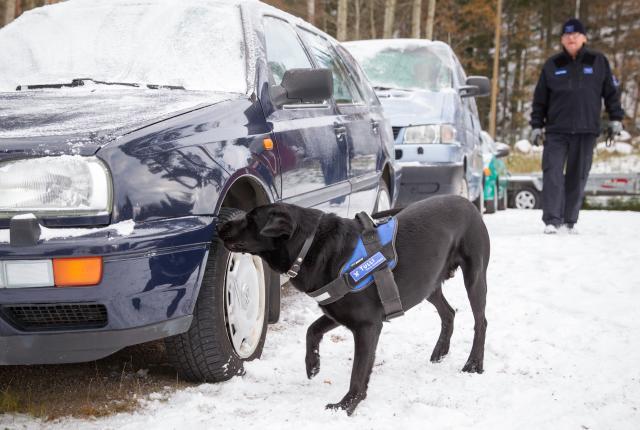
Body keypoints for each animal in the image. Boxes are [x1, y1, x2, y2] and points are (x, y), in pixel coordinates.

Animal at [216, 197, 490, 414]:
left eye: (251, 219)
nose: (219, 225)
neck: (310, 246)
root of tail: (467, 202)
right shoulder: (337, 312)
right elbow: (312, 330)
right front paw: (312, 365)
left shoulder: (368, 326)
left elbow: (358, 371)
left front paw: (346, 405)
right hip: (428, 284)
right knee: (449, 313)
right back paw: (440, 351)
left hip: (474, 275)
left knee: (481, 321)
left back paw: (473, 363)